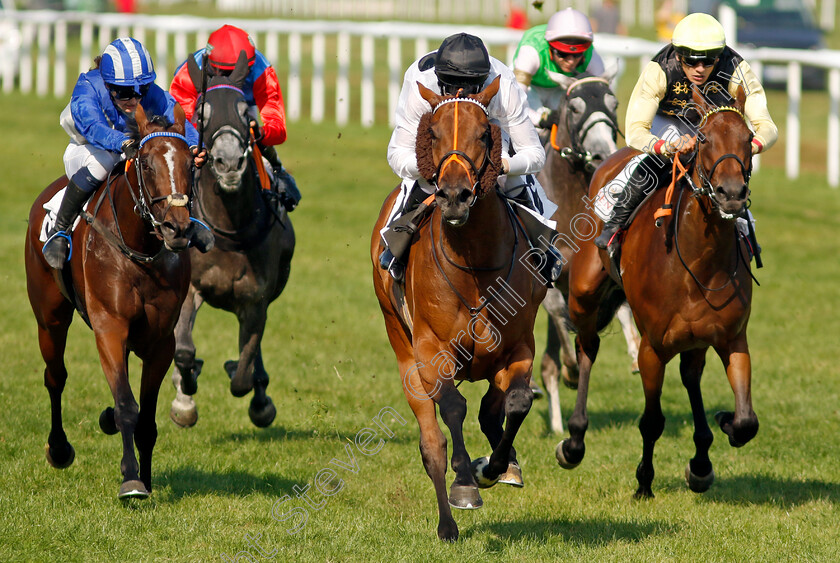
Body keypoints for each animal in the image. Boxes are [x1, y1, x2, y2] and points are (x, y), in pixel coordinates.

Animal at [23, 104, 195, 498]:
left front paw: (146, 478)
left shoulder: (160, 340)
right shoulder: (110, 328)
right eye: (146, 164)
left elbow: (145, 417)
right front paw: (132, 480)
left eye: (190, 164)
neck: (140, 248)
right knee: (55, 376)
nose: (177, 229)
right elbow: (127, 406)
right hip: (50, 319)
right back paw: (59, 448)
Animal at [169, 54, 294, 432]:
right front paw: (185, 395)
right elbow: (184, 352)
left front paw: (255, 395)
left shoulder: (255, 301)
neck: (228, 230)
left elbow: (242, 374)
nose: (229, 163)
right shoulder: (190, 289)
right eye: (201, 113)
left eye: (245, 112)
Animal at [370, 77, 548, 544]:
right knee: (432, 442)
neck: (474, 263)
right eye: (431, 132)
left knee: (492, 408)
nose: (453, 196)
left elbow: (516, 401)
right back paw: (447, 524)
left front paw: (496, 466)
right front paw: (466, 482)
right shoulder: (430, 350)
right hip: (402, 348)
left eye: (485, 133)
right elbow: (452, 409)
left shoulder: (519, 345)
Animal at [556, 87, 760, 498]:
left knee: (690, 375)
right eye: (703, 139)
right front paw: (643, 483)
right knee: (587, 349)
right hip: (584, 294)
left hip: (696, 340)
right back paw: (574, 441)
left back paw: (701, 461)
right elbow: (651, 420)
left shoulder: (732, 339)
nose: (731, 194)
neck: (698, 263)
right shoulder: (652, 347)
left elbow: (747, 421)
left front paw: (722, 427)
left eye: (748, 138)